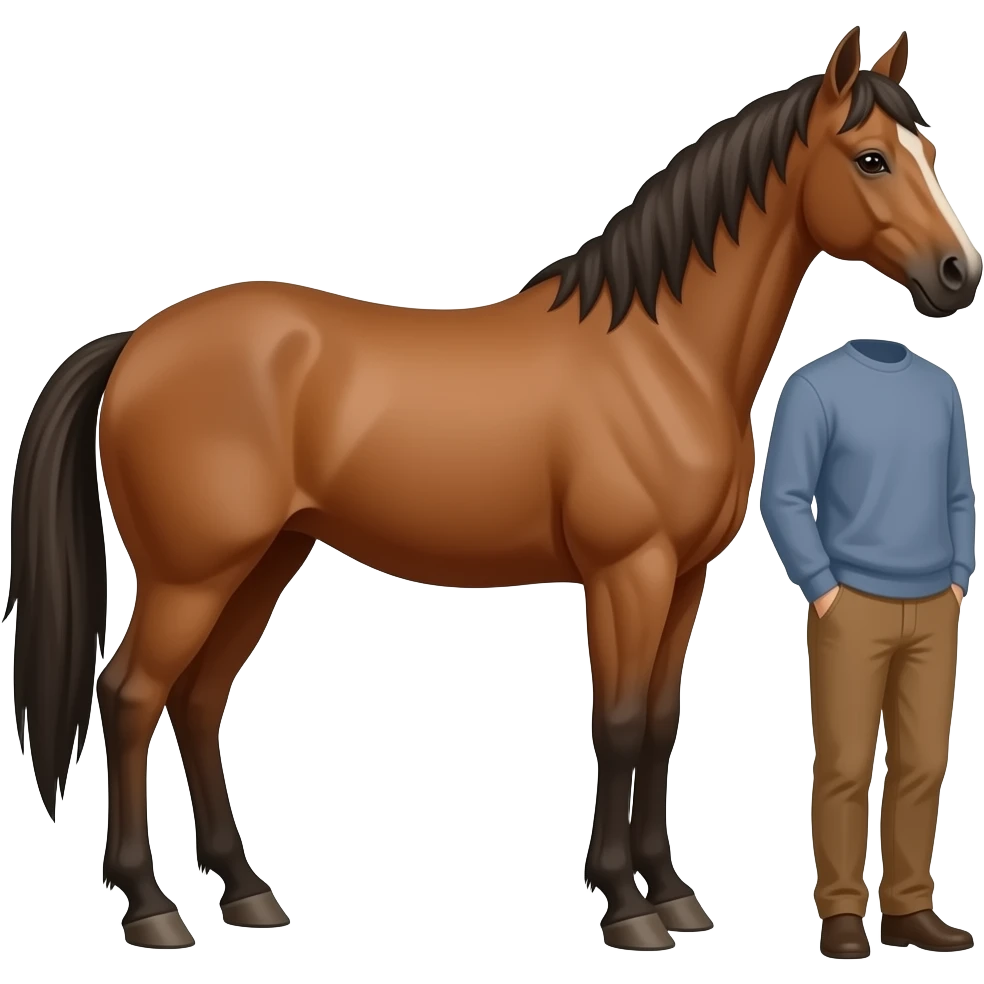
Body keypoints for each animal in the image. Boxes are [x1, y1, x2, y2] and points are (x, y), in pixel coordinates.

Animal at [5, 26, 981, 951]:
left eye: (930, 152)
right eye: (872, 158)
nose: (958, 273)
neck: (663, 354)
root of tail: (137, 343)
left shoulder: (683, 577)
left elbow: (662, 724)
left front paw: (674, 894)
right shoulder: (626, 573)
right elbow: (620, 723)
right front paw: (627, 906)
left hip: (264, 560)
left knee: (198, 700)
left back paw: (246, 893)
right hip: (192, 573)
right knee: (131, 696)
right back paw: (149, 907)